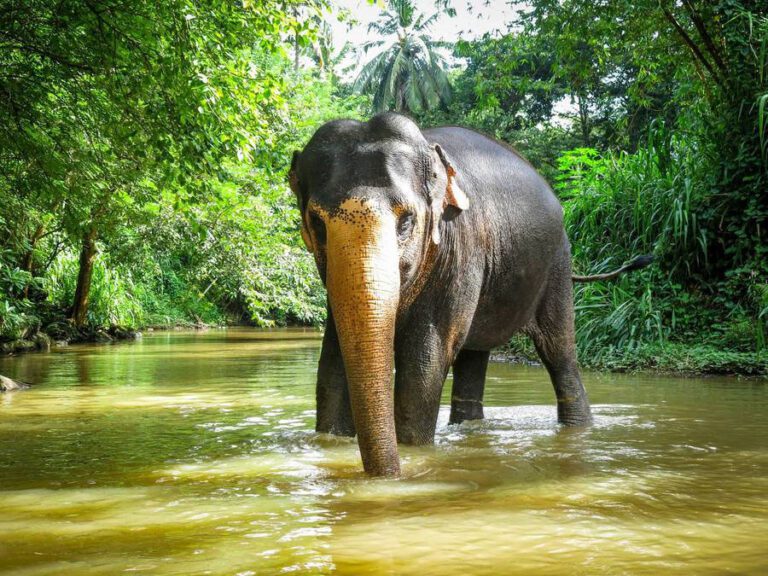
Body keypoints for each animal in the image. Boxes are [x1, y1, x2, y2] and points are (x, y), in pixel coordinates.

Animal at [289, 112, 651, 477]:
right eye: (316, 223)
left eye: (406, 221)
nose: (389, 477)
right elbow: (332, 360)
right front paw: (332, 444)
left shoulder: (459, 248)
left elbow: (427, 356)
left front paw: (414, 451)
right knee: (475, 355)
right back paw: (470, 429)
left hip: (558, 262)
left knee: (559, 353)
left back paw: (577, 425)